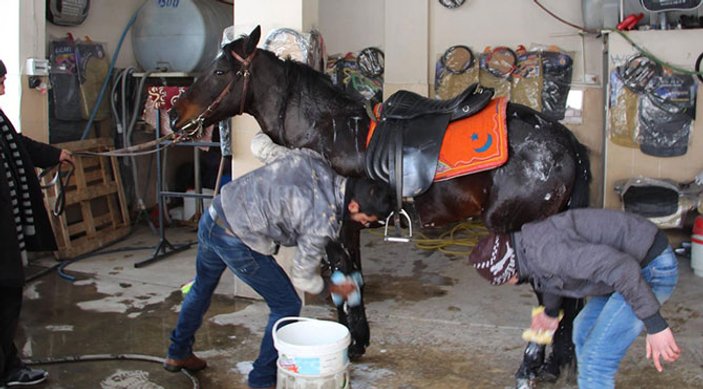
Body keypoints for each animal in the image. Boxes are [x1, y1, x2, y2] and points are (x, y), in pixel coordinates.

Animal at [169, 25, 588, 384]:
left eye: (220, 70)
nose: (174, 114)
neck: (328, 129)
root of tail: (565, 140)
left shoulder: (334, 232)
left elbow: (342, 284)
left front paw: (351, 343)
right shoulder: (348, 230)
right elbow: (353, 282)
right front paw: (354, 341)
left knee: (552, 301)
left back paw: (530, 368)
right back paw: (554, 365)